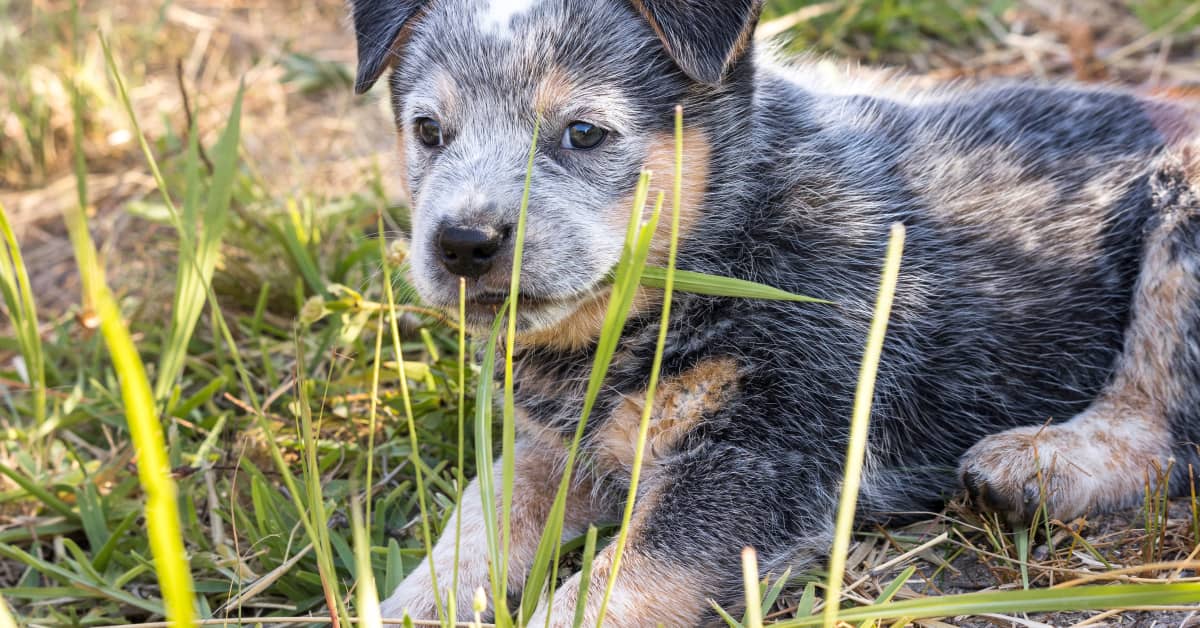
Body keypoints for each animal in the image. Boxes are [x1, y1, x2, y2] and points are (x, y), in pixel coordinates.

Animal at [345, 0, 1200, 624]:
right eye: (429, 130)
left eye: (583, 132)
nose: (464, 242)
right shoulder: (565, 443)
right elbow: (479, 518)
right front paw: (403, 604)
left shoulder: (761, 457)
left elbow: (611, 585)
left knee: (1164, 423)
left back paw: (1037, 466)